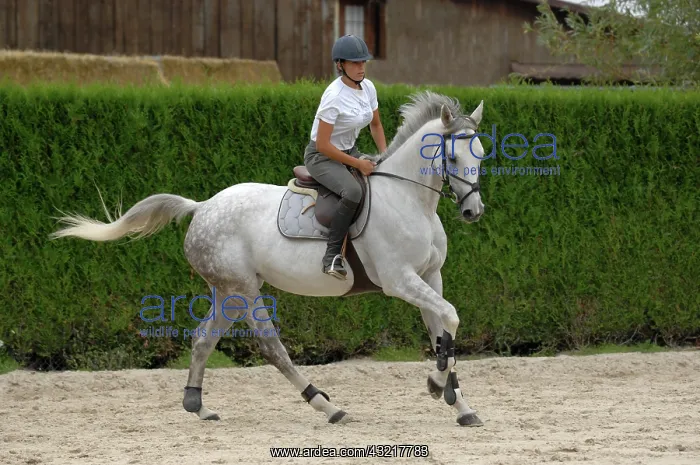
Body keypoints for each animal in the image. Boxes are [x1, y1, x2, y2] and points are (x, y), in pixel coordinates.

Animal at [50, 90, 487, 427]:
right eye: (451, 158)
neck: (409, 199)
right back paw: (326, 406)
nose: (473, 211)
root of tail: (202, 206)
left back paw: (198, 406)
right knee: (270, 346)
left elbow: (443, 335)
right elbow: (450, 319)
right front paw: (436, 387)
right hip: (243, 289)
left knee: (203, 338)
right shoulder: (400, 280)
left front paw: (460, 405)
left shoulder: (430, 277)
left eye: (481, 155)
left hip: (227, 290)